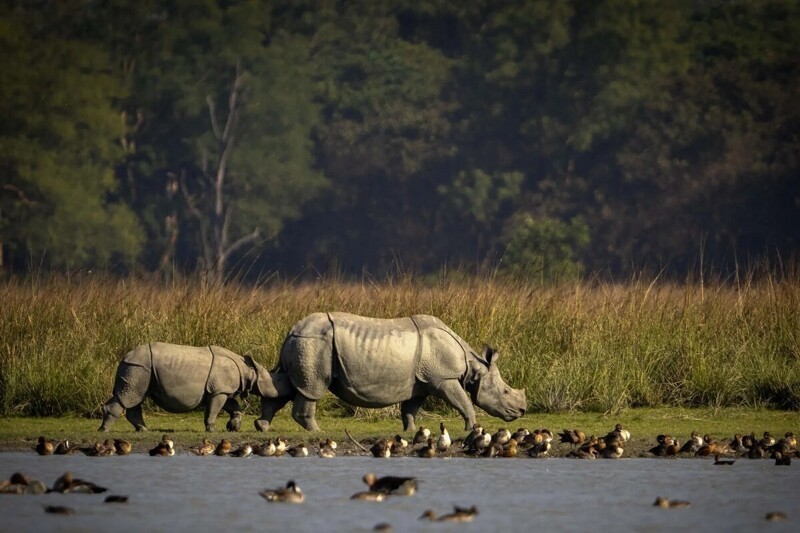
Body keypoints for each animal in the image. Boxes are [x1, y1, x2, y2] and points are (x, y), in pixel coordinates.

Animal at [99, 340, 292, 432]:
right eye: (276, 381)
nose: (288, 388)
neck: (248, 371)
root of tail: (124, 358)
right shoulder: (219, 390)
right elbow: (213, 410)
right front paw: (212, 429)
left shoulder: (223, 389)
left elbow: (234, 407)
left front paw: (233, 427)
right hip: (138, 367)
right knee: (129, 396)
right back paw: (105, 431)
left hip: (139, 369)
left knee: (134, 396)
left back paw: (143, 430)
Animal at [260, 312, 528, 432]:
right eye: (505, 391)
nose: (522, 411)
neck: (474, 367)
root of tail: (291, 331)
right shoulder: (444, 378)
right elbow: (463, 401)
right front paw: (472, 427)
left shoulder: (422, 382)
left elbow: (410, 408)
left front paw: (411, 431)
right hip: (315, 343)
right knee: (312, 388)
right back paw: (317, 432)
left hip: (304, 343)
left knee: (287, 385)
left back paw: (261, 427)